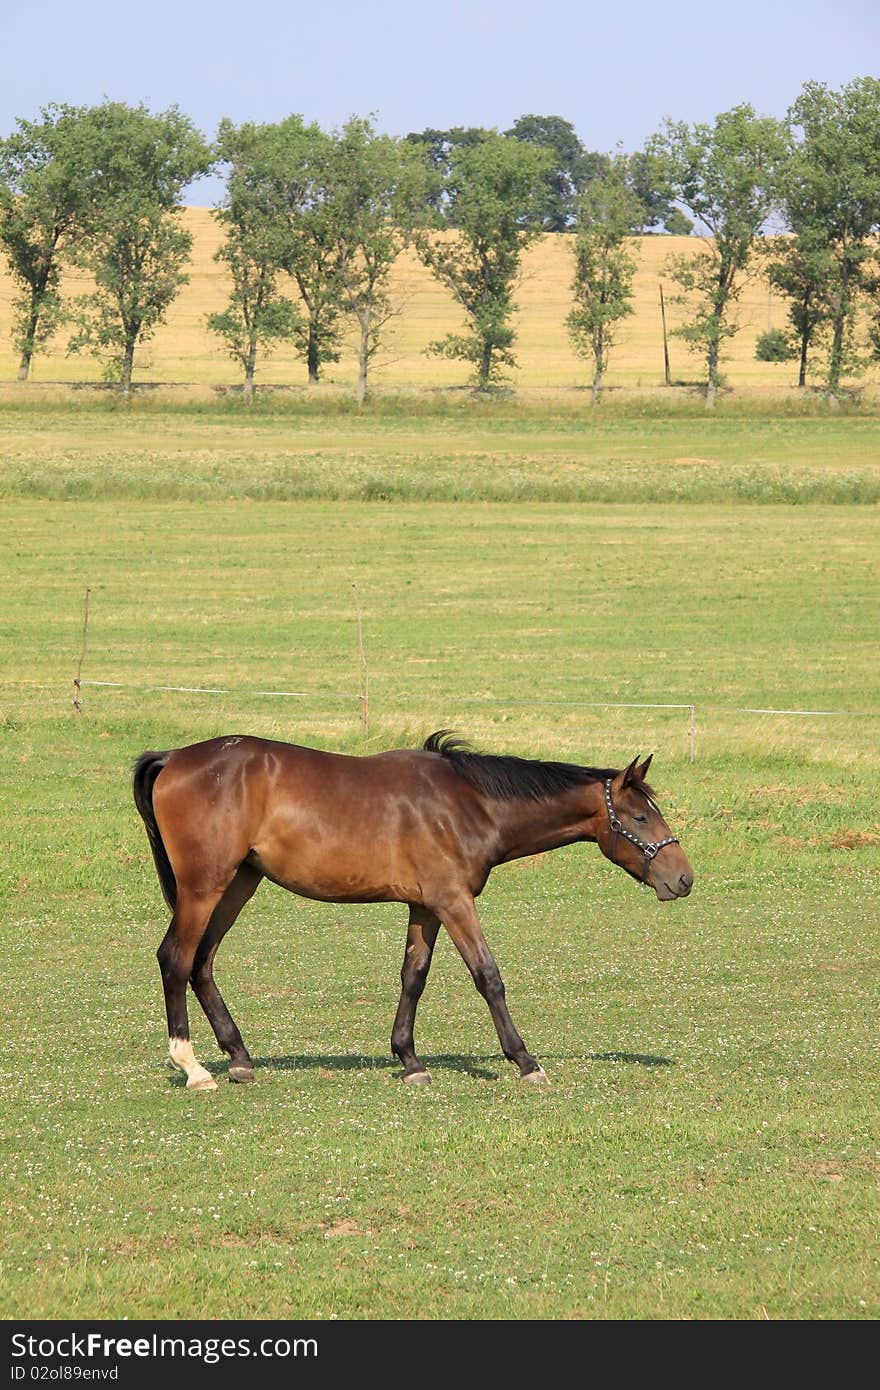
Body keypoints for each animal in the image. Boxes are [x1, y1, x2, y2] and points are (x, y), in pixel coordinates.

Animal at [130, 733, 692, 1089]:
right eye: (640, 817)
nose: (683, 878)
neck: (466, 802)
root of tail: (174, 757)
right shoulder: (452, 900)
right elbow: (488, 976)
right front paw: (525, 1060)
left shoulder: (424, 906)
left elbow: (413, 978)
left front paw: (409, 1059)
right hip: (204, 886)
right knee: (175, 958)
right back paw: (193, 1068)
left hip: (239, 882)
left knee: (202, 961)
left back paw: (240, 1058)